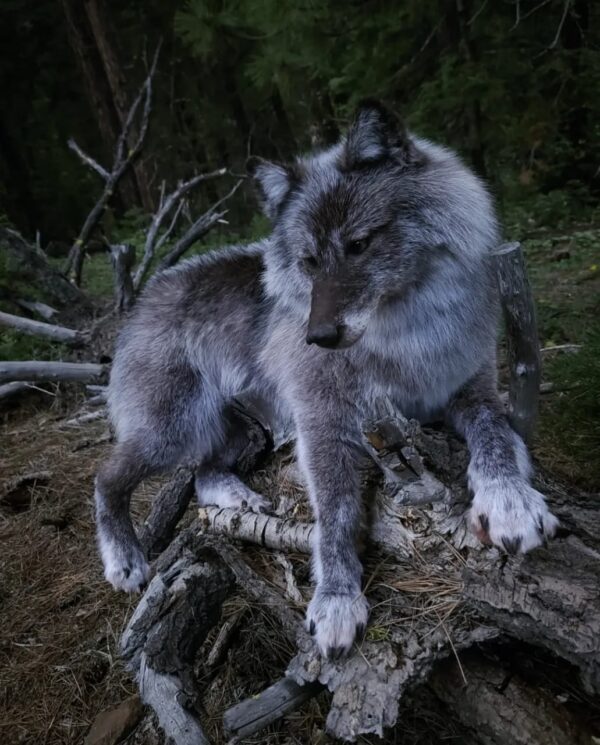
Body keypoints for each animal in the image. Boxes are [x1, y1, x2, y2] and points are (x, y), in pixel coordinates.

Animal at [95, 101, 558, 658]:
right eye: (309, 261)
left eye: (358, 244)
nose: (316, 336)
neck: (402, 338)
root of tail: (145, 297)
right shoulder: (323, 424)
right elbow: (335, 514)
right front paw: (337, 599)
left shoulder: (473, 392)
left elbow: (496, 435)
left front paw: (509, 499)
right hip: (174, 429)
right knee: (107, 478)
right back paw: (124, 560)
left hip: (244, 433)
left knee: (204, 473)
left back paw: (238, 498)